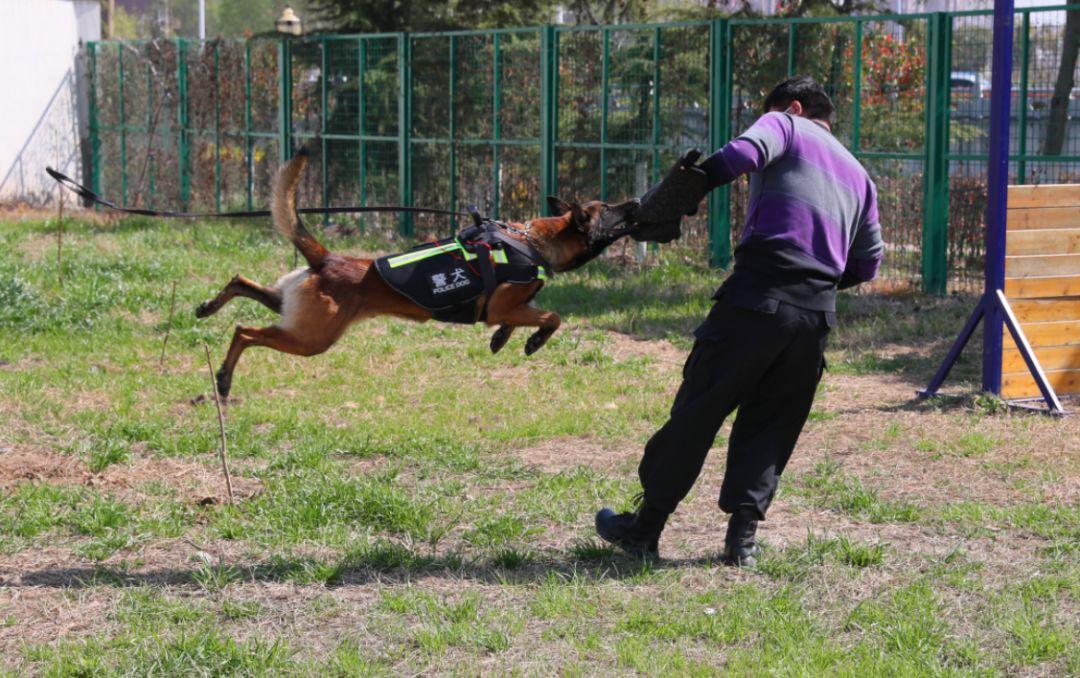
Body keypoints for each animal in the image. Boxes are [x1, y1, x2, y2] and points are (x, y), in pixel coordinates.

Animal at [195, 150, 639, 397]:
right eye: (609, 209)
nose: (635, 200)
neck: (531, 240)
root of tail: (326, 259)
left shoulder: (510, 305)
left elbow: (524, 317)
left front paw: (502, 339)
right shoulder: (505, 304)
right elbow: (553, 317)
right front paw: (533, 341)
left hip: (294, 312)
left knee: (241, 284)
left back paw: (208, 309)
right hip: (312, 337)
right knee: (244, 331)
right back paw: (224, 377)